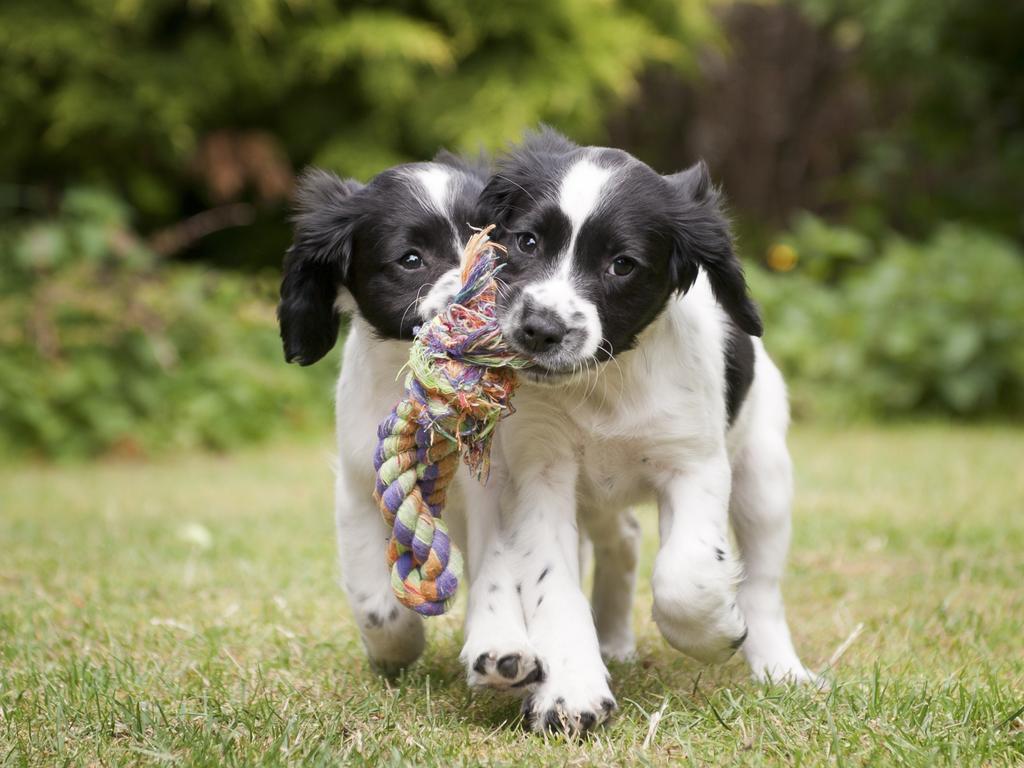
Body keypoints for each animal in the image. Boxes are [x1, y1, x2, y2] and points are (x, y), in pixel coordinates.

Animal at [471, 129, 815, 737]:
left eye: (622, 265)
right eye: (527, 241)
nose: (539, 330)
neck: (606, 382)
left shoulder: (694, 464)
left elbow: (686, 574)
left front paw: (714, 632)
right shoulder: (540, 473)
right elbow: (553, 585)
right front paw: (573, 691)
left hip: (764, 476)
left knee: (763, 585)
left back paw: (780, 668)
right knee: (624, 539)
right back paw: (612, 642)